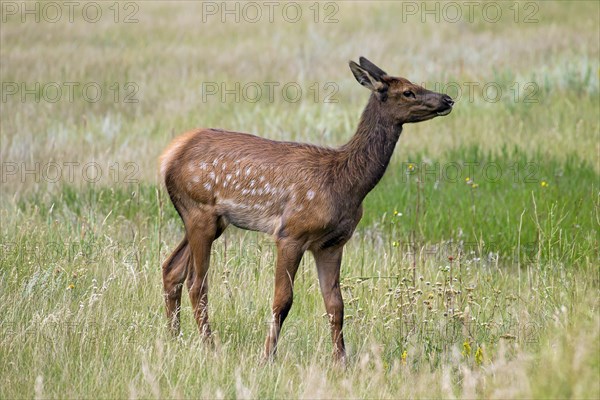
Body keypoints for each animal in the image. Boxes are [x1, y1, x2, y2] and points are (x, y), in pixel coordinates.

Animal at [161, 57, 454, 362]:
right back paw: (210, 346)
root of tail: (169, 155)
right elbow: (282, 301)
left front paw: (341, 361)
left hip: (211, 219)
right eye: (408, 91)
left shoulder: (332, 243)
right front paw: (268, 356)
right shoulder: (291, 232)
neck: (346, 182)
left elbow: (336, 305)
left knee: (171, 268)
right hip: (200, 210)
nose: (447, 99)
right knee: (197, 283)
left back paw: (174, 338)